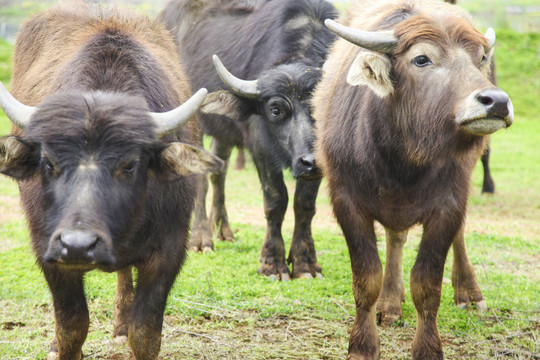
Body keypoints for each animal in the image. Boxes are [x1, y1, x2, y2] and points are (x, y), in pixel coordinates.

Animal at [0, 3, 221, 360]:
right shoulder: (48, 248)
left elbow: (145, 333)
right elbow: (72, 327)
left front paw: (130, 331)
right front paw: (61, 345)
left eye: (129, 166)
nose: (78, 244)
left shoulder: (169, 249)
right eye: (49, 163)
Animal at [314, 0, 512, 358]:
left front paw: (428, 348)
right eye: (421, 59)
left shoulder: (448, 205)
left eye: (480, 58)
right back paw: (390, 303)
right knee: (395, 239)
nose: (497, 102)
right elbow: (367, 279)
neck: (403, 160)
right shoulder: (346, 201)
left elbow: (427, 285)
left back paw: (468, 292)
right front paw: (362, 345)